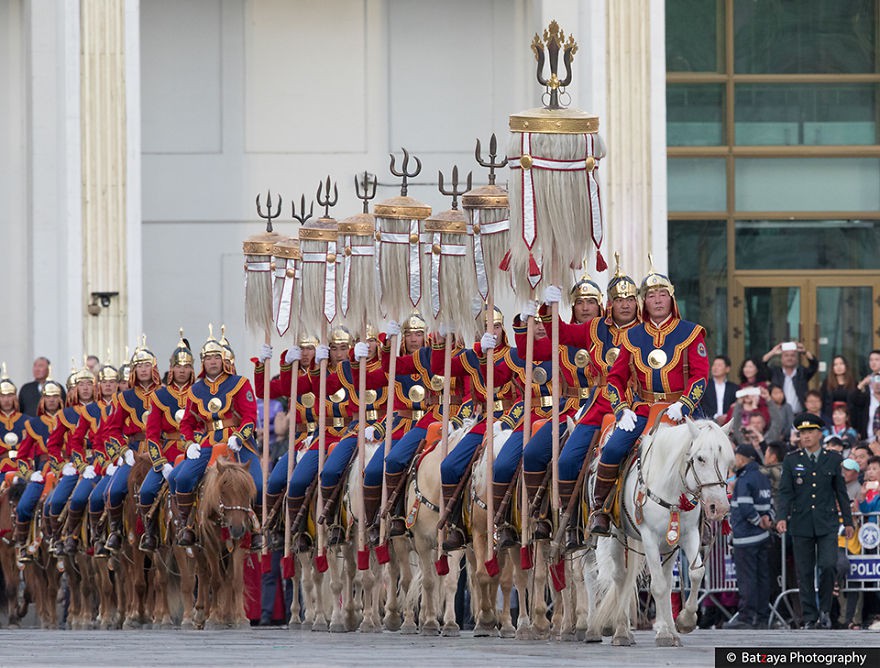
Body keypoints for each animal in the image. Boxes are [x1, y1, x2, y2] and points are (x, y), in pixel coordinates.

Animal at [194, 456, 256, 628]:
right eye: (222, 491)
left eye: (246, 491)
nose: (237, 528)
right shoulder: (210, 546)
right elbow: (215, 580)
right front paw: (214, 617)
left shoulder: (239, 544)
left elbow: (235, 579)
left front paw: (239, 617)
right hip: (198, 549)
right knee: (204, 573)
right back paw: (202, 613)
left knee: (225, 577)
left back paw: (227, 614)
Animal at [584, 420, 736, 644]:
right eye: (701, 458)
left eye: (728, 460)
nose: (719, 507)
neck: (671, 489)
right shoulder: (650, 539)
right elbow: (658, 585)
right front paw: (664, 633)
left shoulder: (688, 535)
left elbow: (695, 573)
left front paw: (683, 621)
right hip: (616, 535)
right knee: (620, 576)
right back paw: (620, 630)